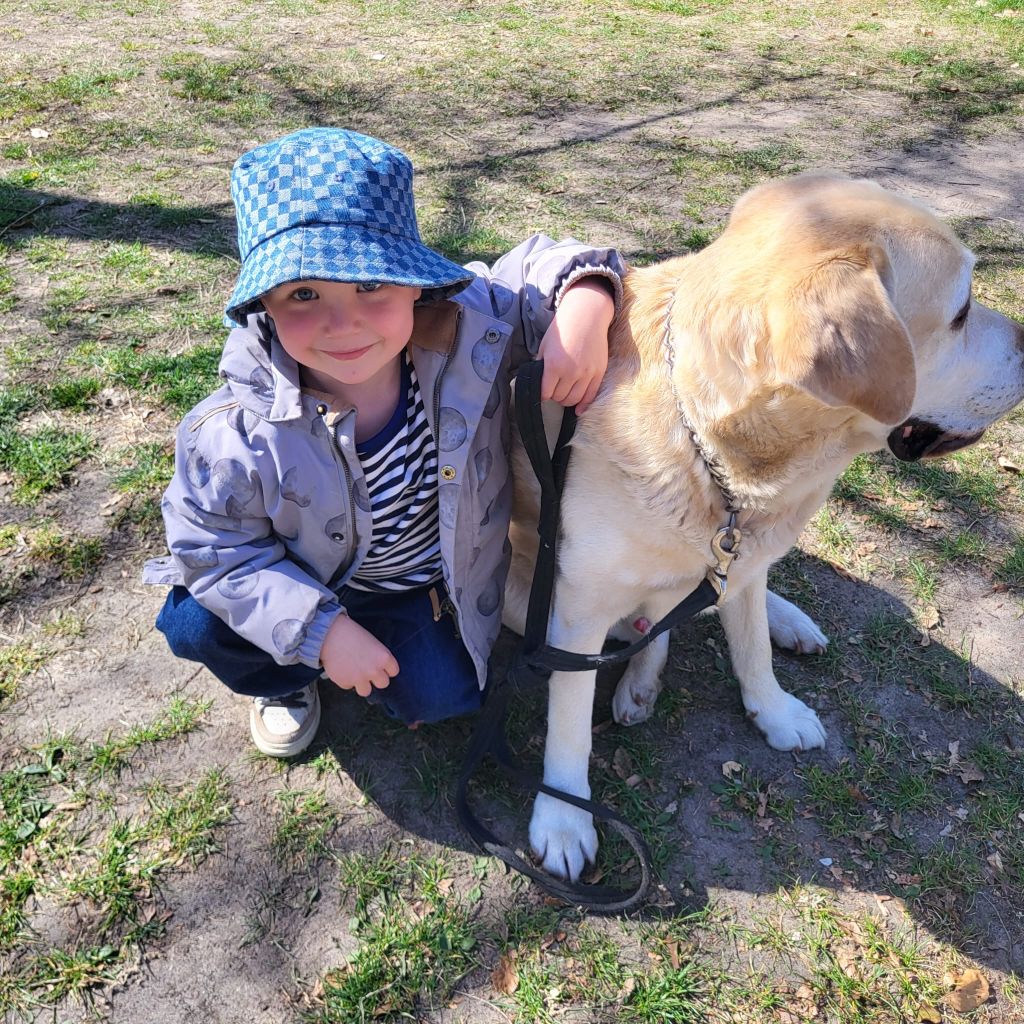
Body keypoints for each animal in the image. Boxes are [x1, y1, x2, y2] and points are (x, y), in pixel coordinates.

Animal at [502, 172, 1024, 882]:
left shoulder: (741, 558)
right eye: (963, 310)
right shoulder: (575, 612)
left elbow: (750, 648)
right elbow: (569, 720)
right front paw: (563, 815)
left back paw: (774, 625)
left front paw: (773, 711)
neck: (717, 457)